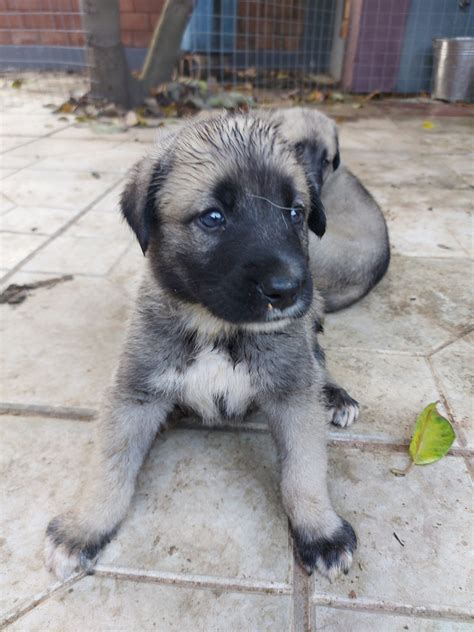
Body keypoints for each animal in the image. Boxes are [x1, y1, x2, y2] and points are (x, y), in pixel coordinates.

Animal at [44, 111, 358, 580]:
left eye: (296, 212)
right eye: (213, 217)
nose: (287, 289)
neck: (215, 326)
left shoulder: (291, 393)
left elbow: (304, 471)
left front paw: (320, 530)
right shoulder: (134, 394)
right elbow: (110, 466)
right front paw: (84, 526)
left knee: (318, 362)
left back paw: (335, 395)